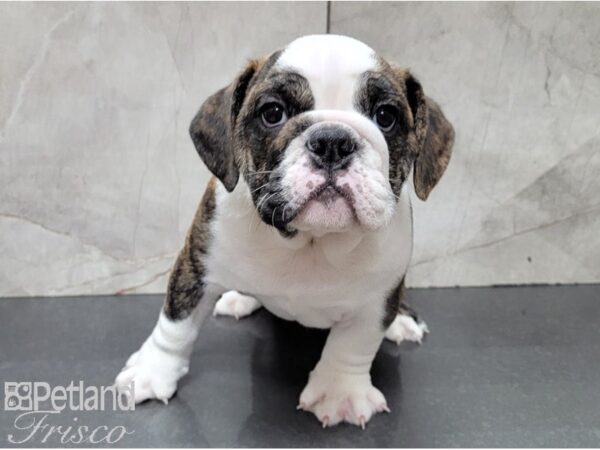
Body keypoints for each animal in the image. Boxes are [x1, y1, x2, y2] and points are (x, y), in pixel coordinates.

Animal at [116, 33, 454, 428]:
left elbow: (352, 346)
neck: (310, 241)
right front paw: (151, 373)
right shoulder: (196, 264)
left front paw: (340, 393)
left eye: (386, 116)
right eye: (273, 113)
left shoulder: (377, 299)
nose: (332, 141)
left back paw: (402, 321)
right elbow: (175, 325)